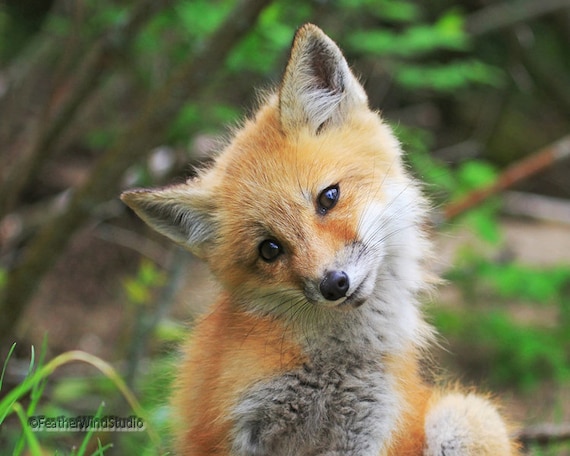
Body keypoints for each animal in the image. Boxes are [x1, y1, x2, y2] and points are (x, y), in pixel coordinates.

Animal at [121, 24, 520, 456]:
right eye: (269, 249)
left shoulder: (371, 427)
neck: (334, 362)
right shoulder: (231, 426)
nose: (334, 284)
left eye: (328, 197)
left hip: (468, 418)